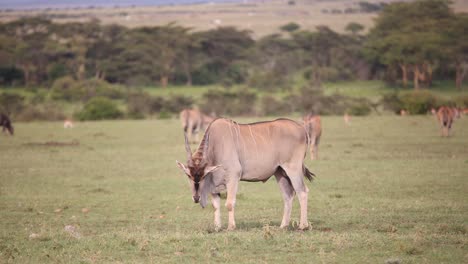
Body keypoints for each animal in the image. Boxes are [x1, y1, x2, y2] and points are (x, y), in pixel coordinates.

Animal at [176, 118, 314, 231]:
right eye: (188, 175)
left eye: (203, 176)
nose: (196, 198)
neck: (215, 145)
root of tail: (301, 128)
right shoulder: (215, 185)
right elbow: (216, 206)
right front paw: (217, 227)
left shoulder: (233, 176)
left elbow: (229, 203)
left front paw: (231, 227)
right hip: (280, 172)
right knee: (288, 195)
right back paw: (283, 226)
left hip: (293, 169)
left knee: (302, 191)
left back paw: (303, 226)